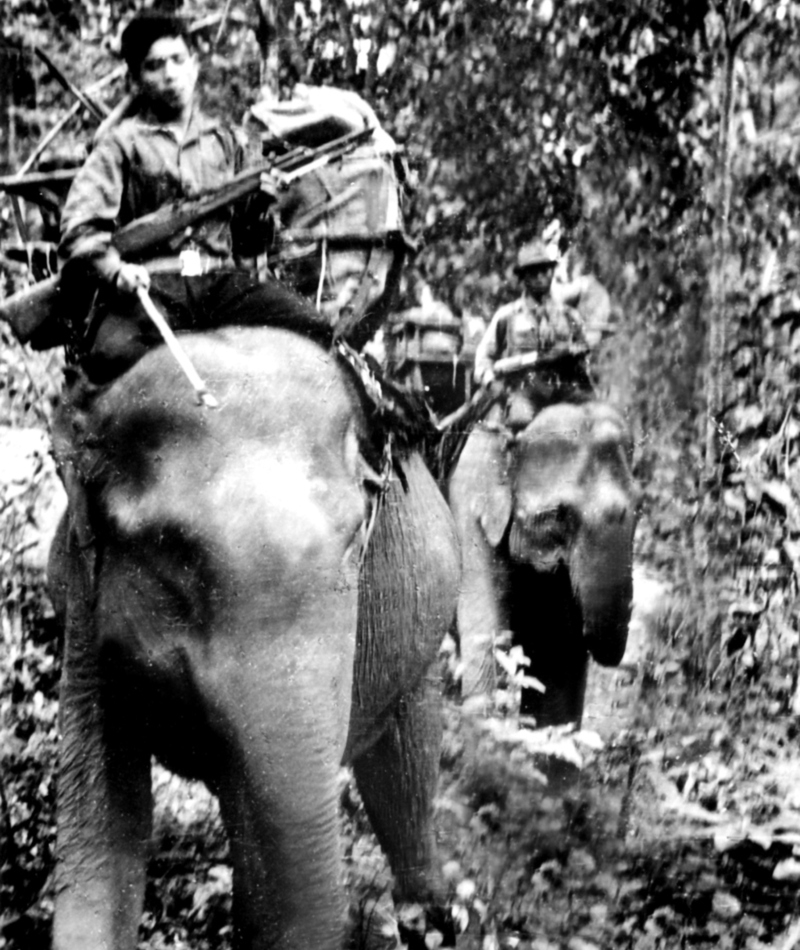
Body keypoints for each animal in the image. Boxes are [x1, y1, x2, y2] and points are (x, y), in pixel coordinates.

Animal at [48, 326, 462, 950]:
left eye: (356, 539)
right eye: (174, 550)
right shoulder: (85, 589)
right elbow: (102, 823)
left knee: (406, 766)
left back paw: (431, 918)